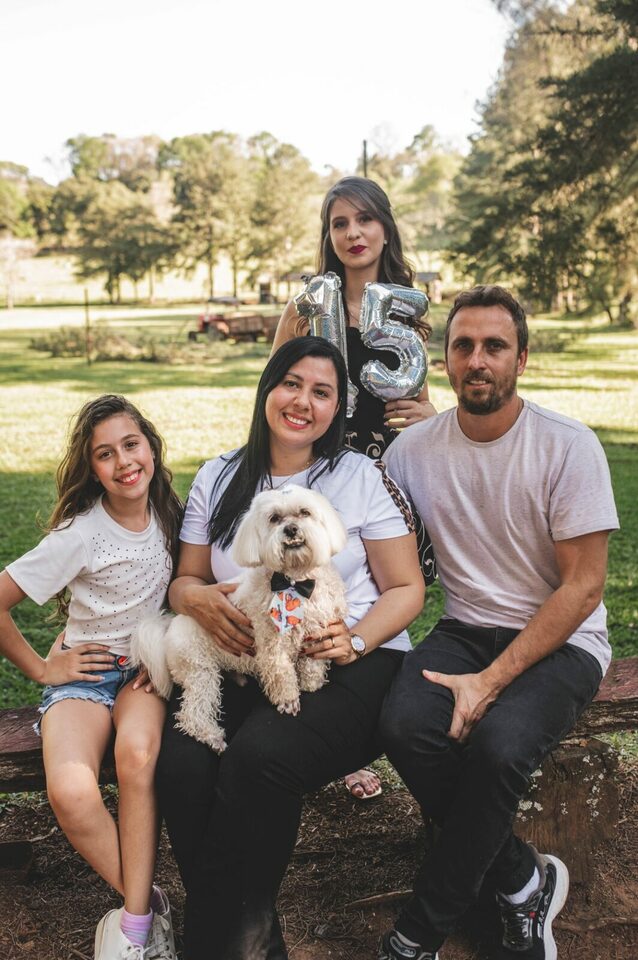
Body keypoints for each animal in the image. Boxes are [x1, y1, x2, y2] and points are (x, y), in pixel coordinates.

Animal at [132, 484, 348, 752]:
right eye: (274, 518)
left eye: (304, 512)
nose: (291, 529)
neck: (296, 581)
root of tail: (168, 630)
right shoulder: (271, 644)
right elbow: (281, 672)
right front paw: (288, 699)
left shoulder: (317, 631)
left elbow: (312, 662)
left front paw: (311, 683)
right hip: (200, 671)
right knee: (191, 714)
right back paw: (212, 736)